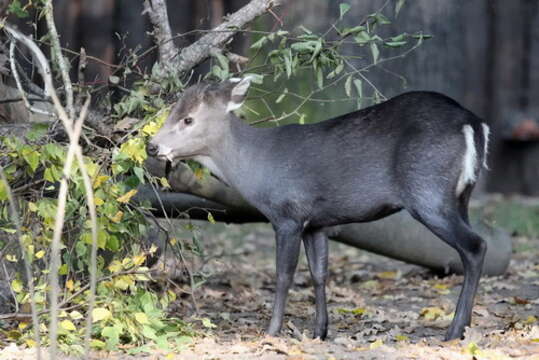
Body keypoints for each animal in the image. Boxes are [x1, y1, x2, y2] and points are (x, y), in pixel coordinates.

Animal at [147, 77, 490, 342]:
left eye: (188, 119)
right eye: (173, 112)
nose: (152, 145)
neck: (258, 166)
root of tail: (474, 124)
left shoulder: (288, 214)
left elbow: (284, 275)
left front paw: (272, 331)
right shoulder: (317, 223)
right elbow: (319, 273)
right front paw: (319, 332)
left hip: (428, 193)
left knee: (475, 246)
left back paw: (454, 331)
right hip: (460, 197)